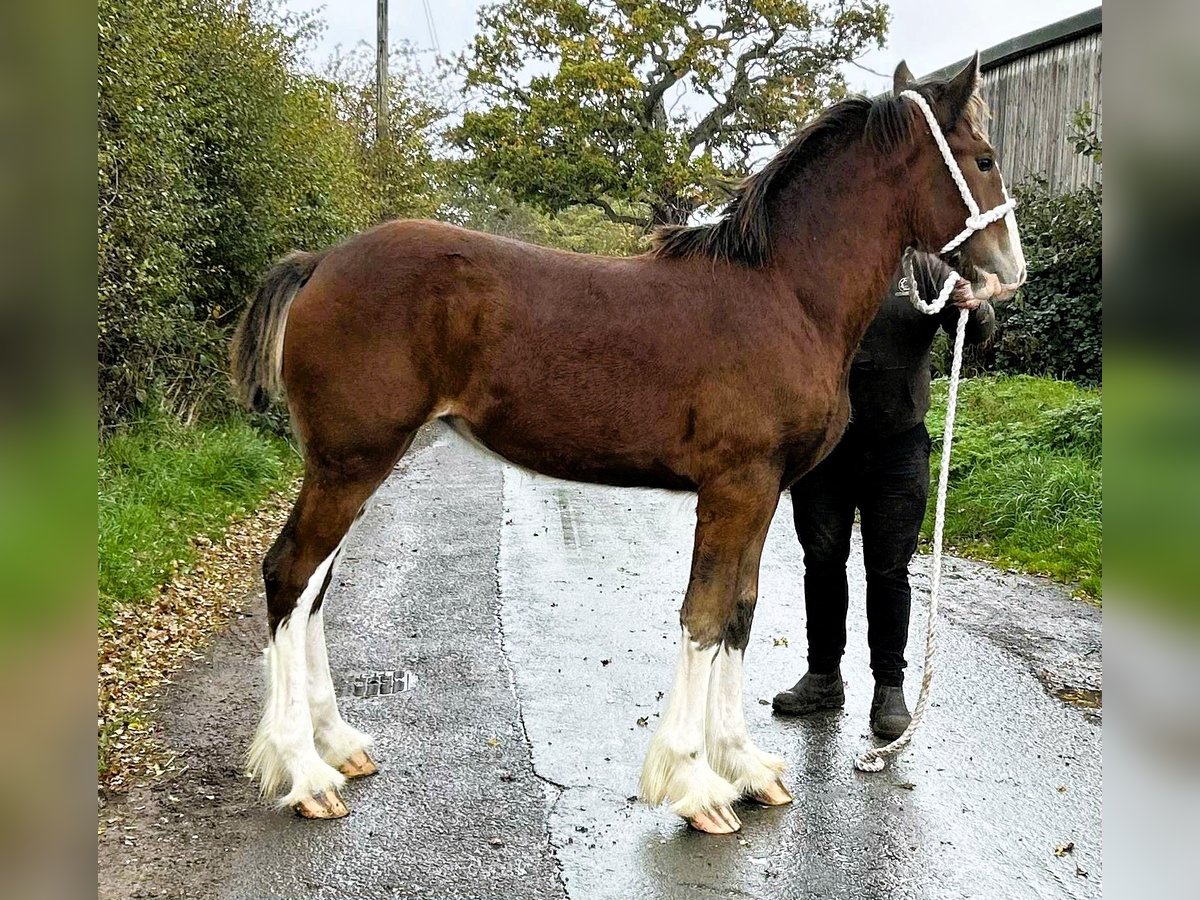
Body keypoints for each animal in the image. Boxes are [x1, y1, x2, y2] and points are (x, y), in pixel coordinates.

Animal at [230, 54, 1025, 834]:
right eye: (984, 159)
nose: (1009, 272)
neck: (784, 296)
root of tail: (321, 263)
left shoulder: (764, 492)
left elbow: (740, 613)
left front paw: (747, 768)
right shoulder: (736, 488)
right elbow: (705, 615)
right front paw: (696, 784)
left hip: (354, 467)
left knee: (313, 588)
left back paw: (338, 746)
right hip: (350, 464)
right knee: (290, 575)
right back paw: (303, 775)